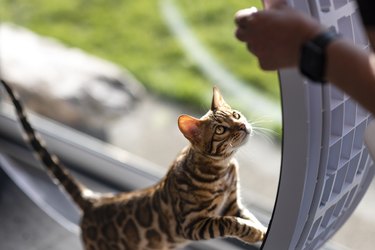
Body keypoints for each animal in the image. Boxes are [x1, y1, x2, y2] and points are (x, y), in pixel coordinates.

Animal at [2, 80, 268, 250]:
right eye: (221, 130)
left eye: (235, 115)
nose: (242, 126)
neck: (223, 168)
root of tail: (94, 200)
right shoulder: (192, 224)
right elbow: (229, 223)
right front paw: (253, 232)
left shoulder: (233, 204)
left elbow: (248, 218)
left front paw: (261, 232)